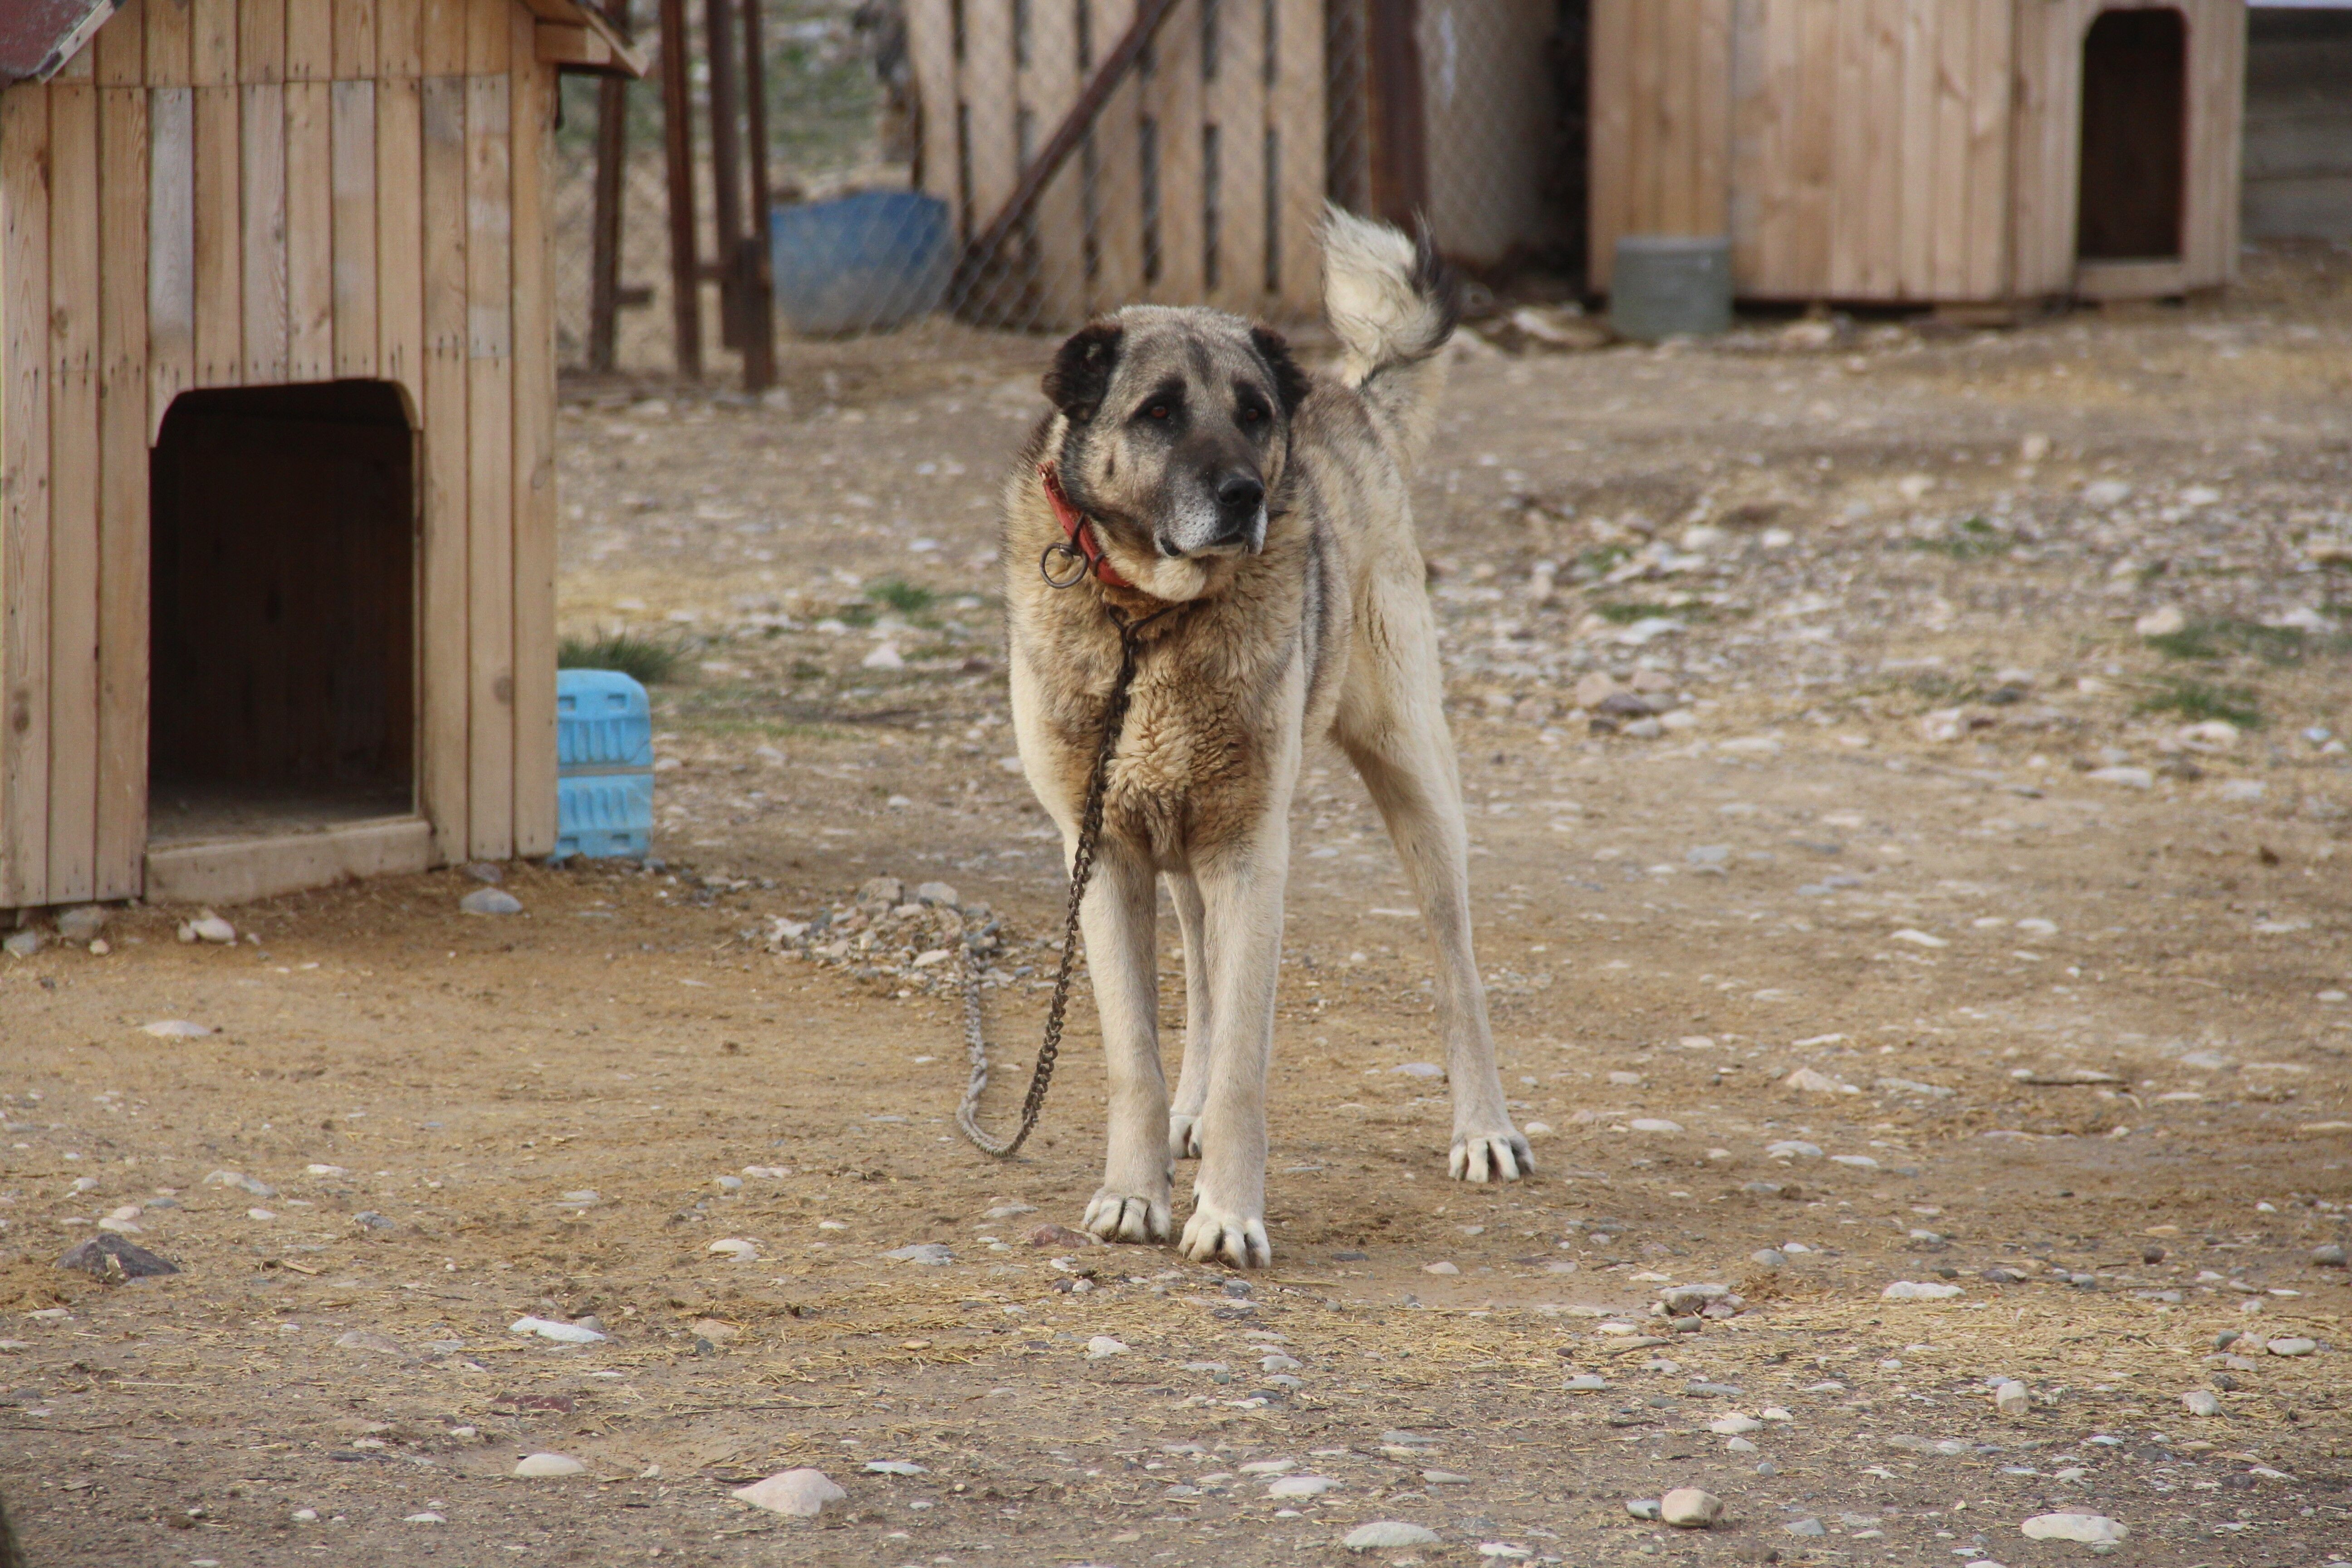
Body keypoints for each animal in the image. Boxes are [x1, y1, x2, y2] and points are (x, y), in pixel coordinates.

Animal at [1001, 208, 1529, 1268]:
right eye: (1158, 413)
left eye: (1252, 413)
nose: (1243, 494)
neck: (1149, 622)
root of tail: (1349, 396)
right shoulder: (1105, 854)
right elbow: (1136, 1056)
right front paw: (1136, 1193)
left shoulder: (1251, 854)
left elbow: (1248, 1059)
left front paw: (1228, 1214)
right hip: (1188, 847)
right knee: (1202, 981)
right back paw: (1188, 1116)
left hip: (1413, 783)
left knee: (1456, 968)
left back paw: (1483, 1128)